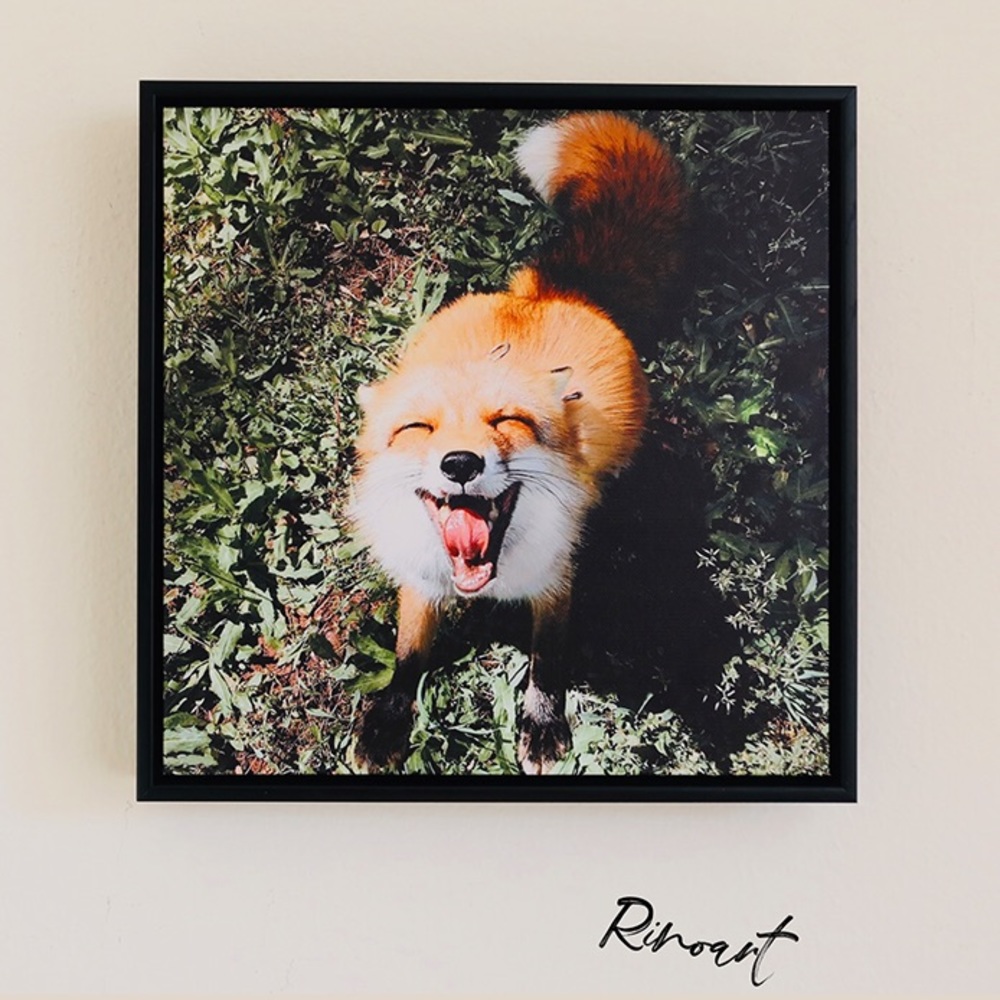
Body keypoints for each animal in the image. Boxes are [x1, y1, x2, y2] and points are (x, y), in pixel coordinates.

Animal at [350, 112, 688, 773]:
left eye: (508, 422)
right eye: (417, 430)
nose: (459, 462)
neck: (489, 579)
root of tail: (549, 293)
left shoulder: (556, 577)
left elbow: (547, 659)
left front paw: (542, 725)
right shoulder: (422, 582)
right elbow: (408, 654)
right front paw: (389, 720)